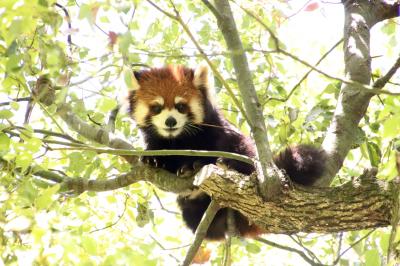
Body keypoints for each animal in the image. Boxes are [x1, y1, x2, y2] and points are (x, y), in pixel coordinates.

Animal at [124, 65, 324, 241]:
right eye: (157, 108)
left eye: (180, 106)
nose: (170, 121)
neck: (178, 138)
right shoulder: (158, 142)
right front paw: (153, 159)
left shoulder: (216, 128)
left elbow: (229, 146)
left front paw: (209, 164)